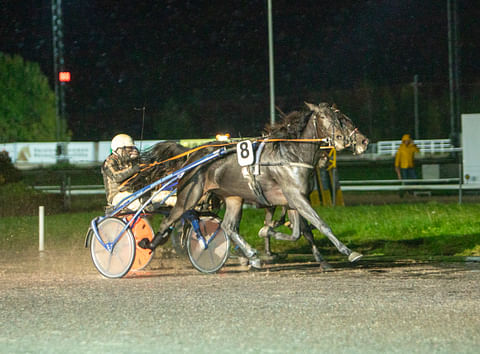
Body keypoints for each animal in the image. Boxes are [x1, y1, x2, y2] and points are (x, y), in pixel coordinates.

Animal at [141, 102, 370, 268]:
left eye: (344, 119)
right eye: (326, 118)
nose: (362, 141)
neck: (291, 155)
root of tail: (193, 154)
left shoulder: (292, 200)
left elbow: (299, 232)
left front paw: (267, 234)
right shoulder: (296, 197)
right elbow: (321, 224)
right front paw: (349, 252)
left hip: (233, 198)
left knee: (228, 226)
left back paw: (252, 255)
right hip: (189, 196)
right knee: (169, 220)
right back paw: (148, 244)